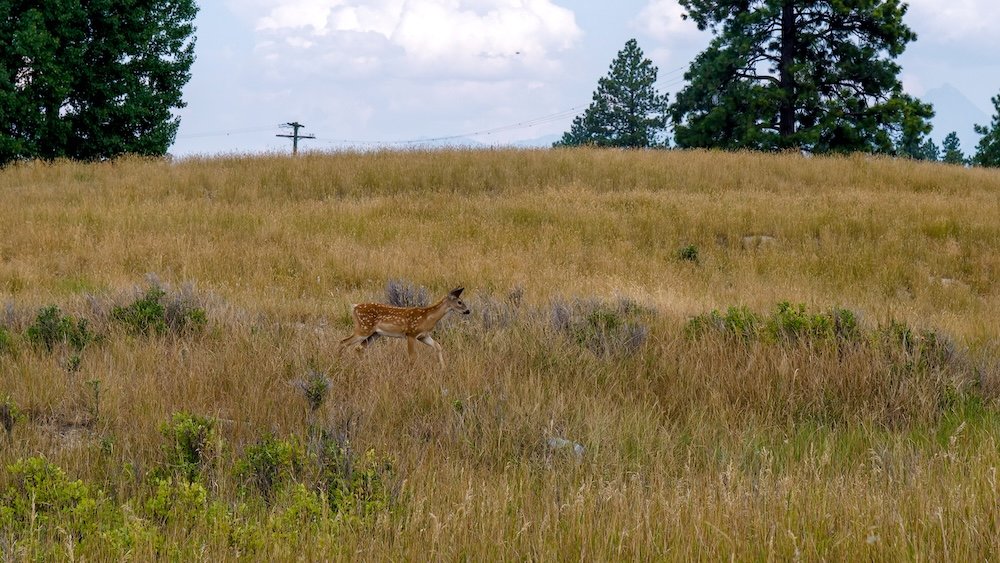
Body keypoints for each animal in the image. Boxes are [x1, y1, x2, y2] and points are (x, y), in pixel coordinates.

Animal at [338, 287, 470, 368]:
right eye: (459, 302)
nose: (468, 311)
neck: (427, 318)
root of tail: (354, 307)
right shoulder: (411, 333)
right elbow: (412, 356)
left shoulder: (423, 336)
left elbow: (438, 346)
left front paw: (443, 367)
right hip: (363, 328)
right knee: (343, 341)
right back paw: (338, 362)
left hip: (375, 334)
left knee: (359, 348)